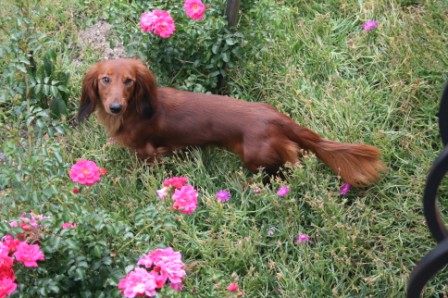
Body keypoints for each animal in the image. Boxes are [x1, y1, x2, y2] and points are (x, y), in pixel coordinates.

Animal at [77, 58, 384, 186]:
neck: (136, 110)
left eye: (129, 81)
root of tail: (275, 117)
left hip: (255, 157)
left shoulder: (148, 151)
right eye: (105, 79)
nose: (115, 107)